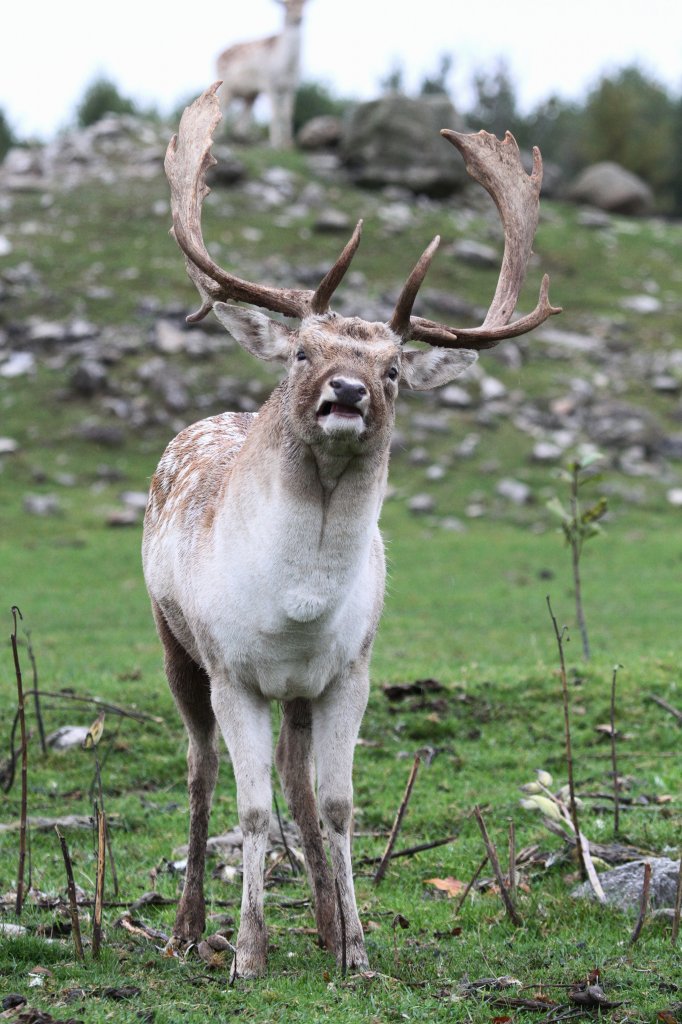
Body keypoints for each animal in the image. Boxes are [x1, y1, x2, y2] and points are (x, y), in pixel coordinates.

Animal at [142, 79, 557, 974]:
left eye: (394, 367)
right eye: (303, 351)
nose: (348, 392)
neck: (296, 608)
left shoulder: (352, 671)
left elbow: (335, 804)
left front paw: (359, 953)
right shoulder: (232, 671)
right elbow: (251, 810)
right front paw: (249, 954)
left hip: (298, 693)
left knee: (296, 779)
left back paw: (327, 925)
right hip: (172, 643)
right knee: (198, 769)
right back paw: (187, 928)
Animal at [215, 0, 305, 147]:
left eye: (304, 5)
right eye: (286, 7)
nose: (299, 18)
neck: (286, 66)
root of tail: (216, 57)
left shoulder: (291, 86)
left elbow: (287, 113)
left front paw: (288, 143)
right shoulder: (269, 83)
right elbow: (275, 113)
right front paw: (275, 143)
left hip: (250, 94)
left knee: (243, 115)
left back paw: (241, 136)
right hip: (226, 86)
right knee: (223, 105)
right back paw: (221, 136)